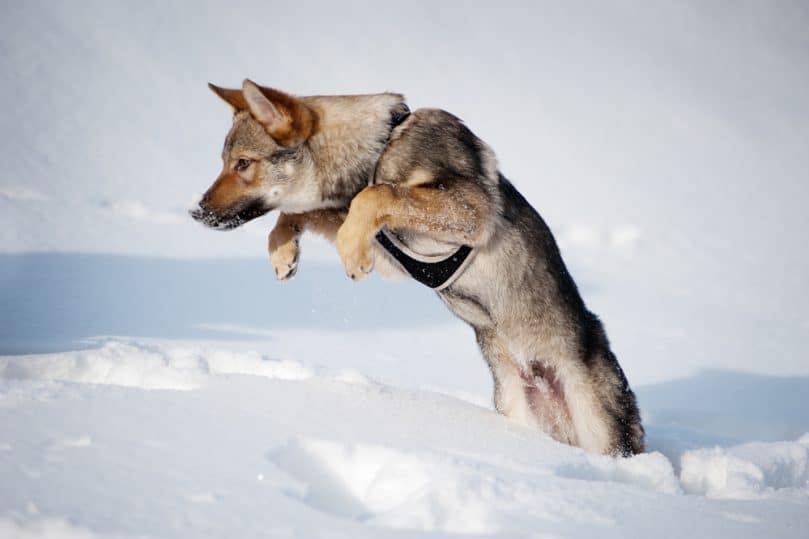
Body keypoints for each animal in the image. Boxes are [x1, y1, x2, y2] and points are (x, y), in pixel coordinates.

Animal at [191, 80, 644, 458]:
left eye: (243, 164)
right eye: (225, 161)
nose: (196, 212)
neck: (379, 149)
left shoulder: (469, 209)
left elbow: (376, 194)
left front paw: (349, 257)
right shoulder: (381, 245)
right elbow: (303, 212)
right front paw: (284, 252)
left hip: (599, 429)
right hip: (515, 406)